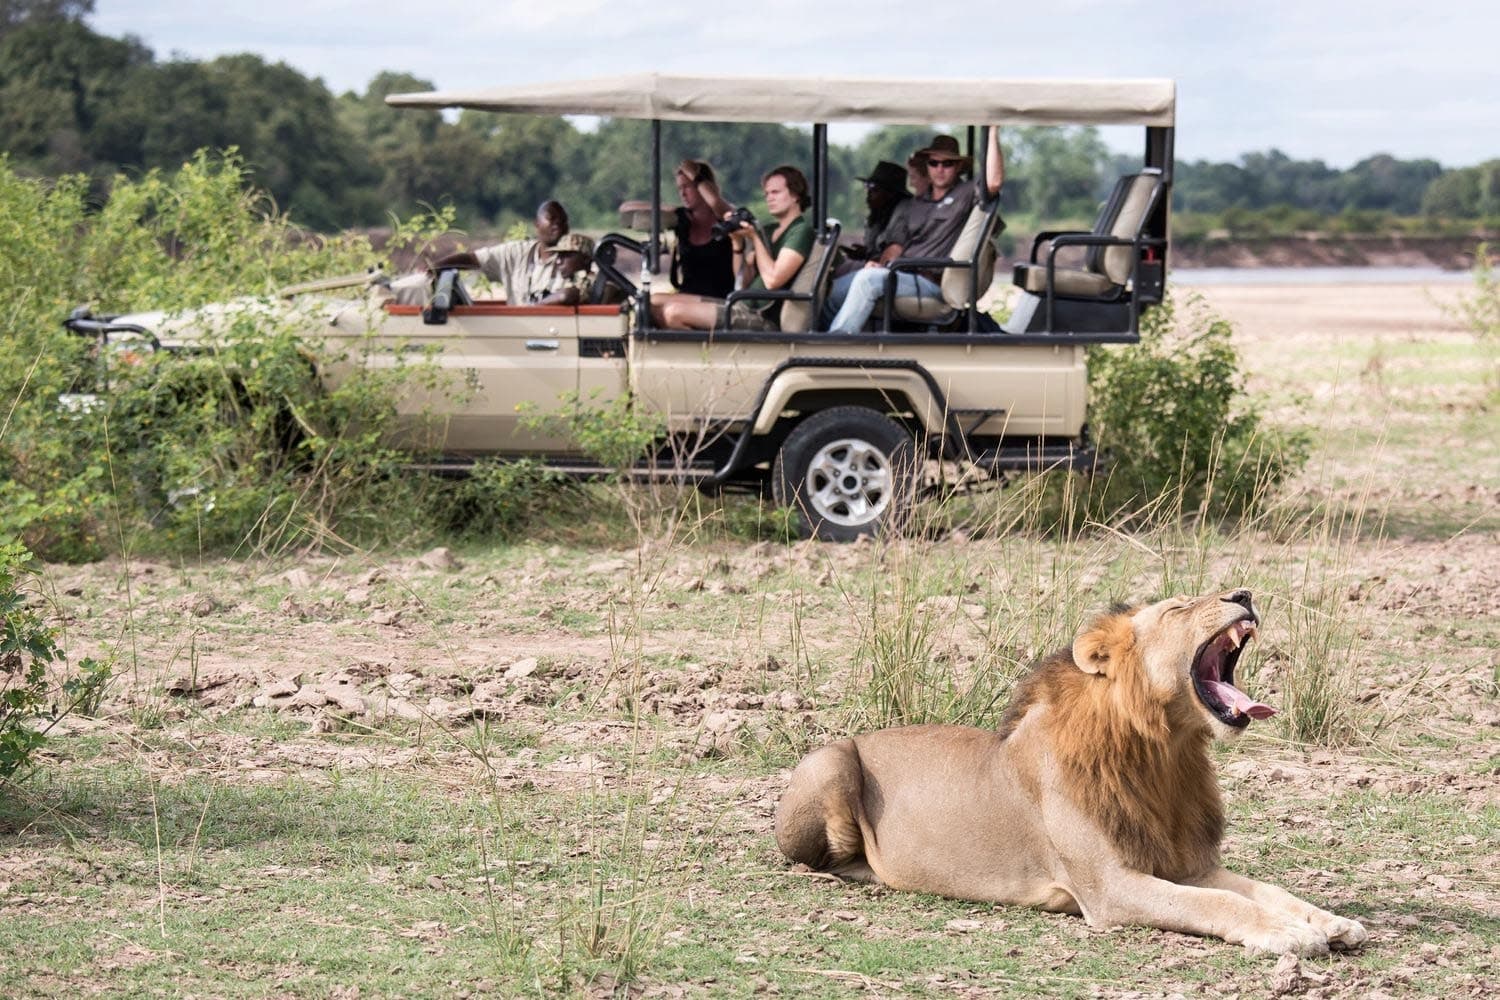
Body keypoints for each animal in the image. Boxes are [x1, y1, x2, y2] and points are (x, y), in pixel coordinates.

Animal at [774, 589, 1368, 956]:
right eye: (1178, 607)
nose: (1243, 596)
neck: (1165, 756)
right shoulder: (1109, 888)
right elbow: (1216, 902)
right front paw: (1286, 935)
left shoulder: (1187, 864)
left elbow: (1263, 888)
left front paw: (1327, 921)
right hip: (830, 761)